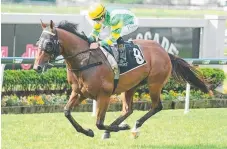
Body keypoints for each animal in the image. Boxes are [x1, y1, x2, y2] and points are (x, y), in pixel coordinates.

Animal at [33, 19, 211, 139]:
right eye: (38, 42)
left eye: (49, 43)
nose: (37, 67)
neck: (85, 61)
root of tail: (164, 51)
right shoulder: (79, 93)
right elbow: (67, 112)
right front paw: (88, 132)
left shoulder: (104, 95)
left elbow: (99, 122)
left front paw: (120, 128)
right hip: (130, 86)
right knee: (128, 109)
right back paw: (112, 129)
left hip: (155, 83)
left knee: (156, 106)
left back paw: (134, 127)